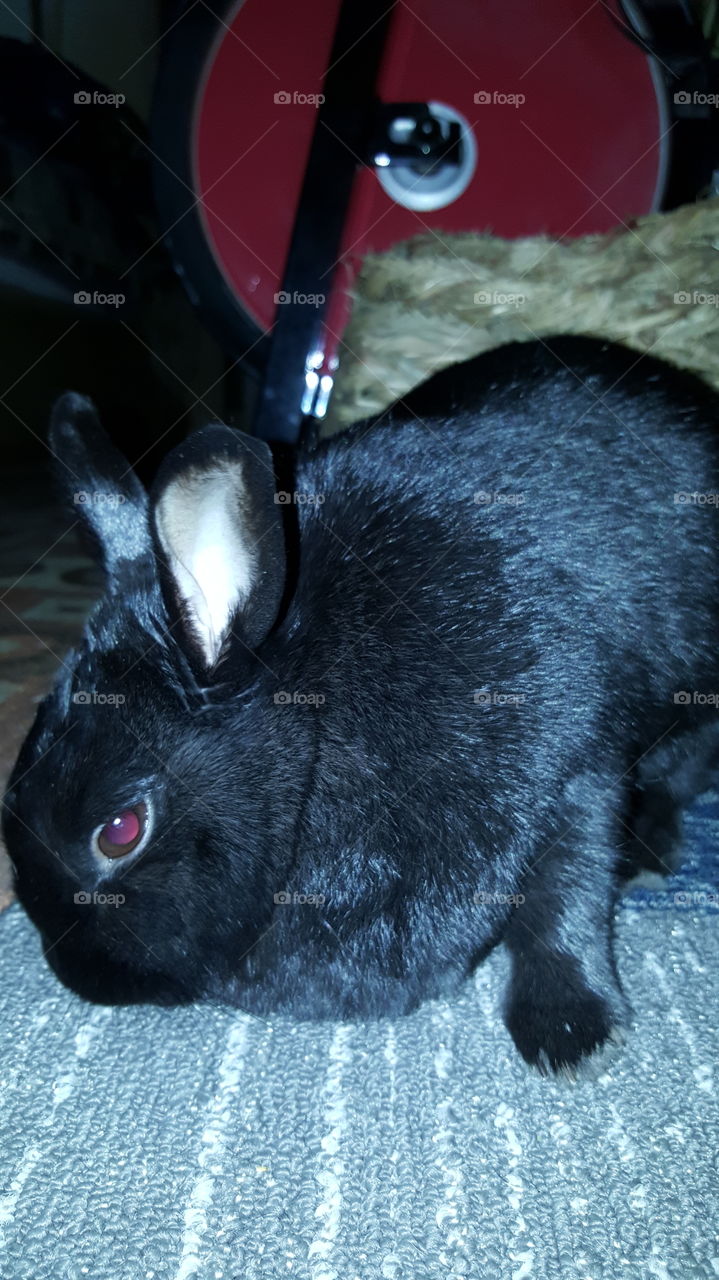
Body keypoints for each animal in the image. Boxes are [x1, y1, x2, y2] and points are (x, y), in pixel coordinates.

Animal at [4, 335, 719, 1074]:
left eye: (120, 831)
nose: (84, 979)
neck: (317, 718)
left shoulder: (573, 766)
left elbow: (562, 901)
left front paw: (570, 1036)